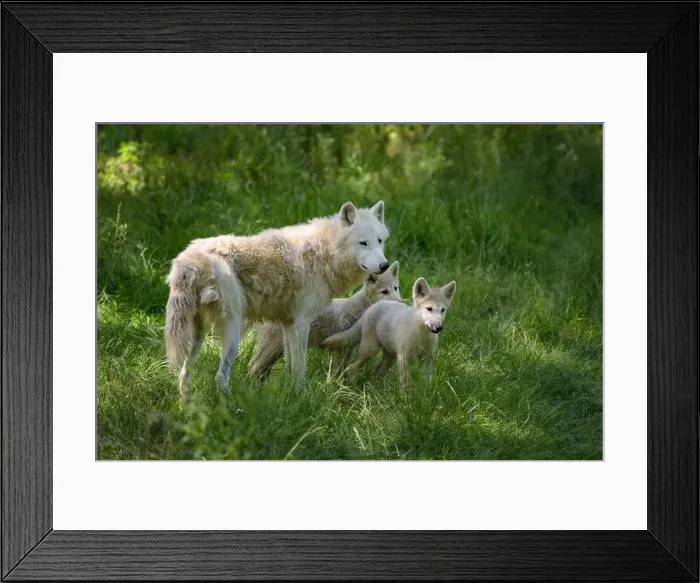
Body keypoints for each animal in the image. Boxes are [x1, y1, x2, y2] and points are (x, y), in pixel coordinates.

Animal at [247, 261, 401, 379]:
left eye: (396, 288)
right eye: (384, 292)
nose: (401, 302)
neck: (357, 309)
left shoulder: (348, 348)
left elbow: (344, 370)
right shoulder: (337, 348)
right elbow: (337, 372)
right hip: (272, 347)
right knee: (254, 366)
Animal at [322, 277, 456, 389]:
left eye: (443, 310)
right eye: (429, 309)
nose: (439, 327)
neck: (420, 335)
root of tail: (371, 307)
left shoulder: (427, 358)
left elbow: (425, 381)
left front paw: (423, 395)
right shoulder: (403, 357)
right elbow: (405, 384)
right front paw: (406, 401)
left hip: (389, 358)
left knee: (375, 374)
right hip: (370, 351)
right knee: (351, 368)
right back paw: (352, 387)